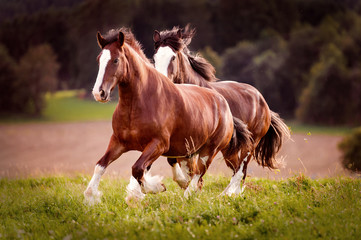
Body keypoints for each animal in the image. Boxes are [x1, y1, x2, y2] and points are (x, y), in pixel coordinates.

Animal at [83, 27, 252, 204]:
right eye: (99, 60)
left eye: (115, 60)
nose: (99, 93)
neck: (138, 104)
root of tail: (223, 103)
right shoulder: (118, 142)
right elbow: (100, 165)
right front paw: (90, 197)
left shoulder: (159, 144)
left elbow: (137, 169)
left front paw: (155, 187)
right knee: (216, 173)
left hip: (211, 150)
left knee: (214, 171)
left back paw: (200, 195)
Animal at [152, 25, 290, 196]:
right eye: (155, 57)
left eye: (173, 58)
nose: (161, 81)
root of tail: (262, 101)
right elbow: (177, 162)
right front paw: (190, 185)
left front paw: (190, 186)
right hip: (230, 149)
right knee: (236, 168)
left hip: (250, 145)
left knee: (241, 170)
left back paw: (228, 195)